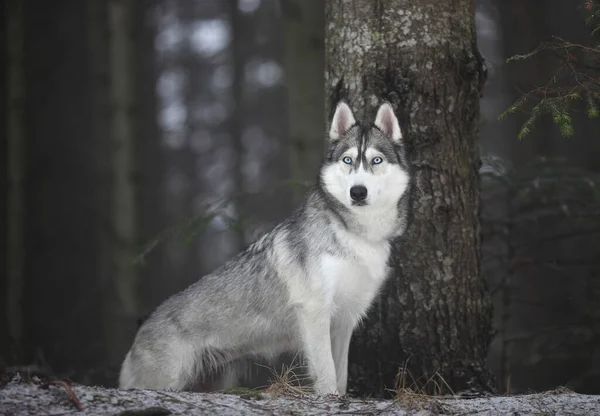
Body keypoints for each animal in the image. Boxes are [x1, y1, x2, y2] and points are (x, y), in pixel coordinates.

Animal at [122, 101, 412, 396]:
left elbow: (340, 376)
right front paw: (329, 399)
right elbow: (327, 374)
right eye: (348, 160)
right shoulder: (315, 311)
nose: (358, 192)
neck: (354, 233)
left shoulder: (344, 321)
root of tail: (140, 329)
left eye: (376, 160)